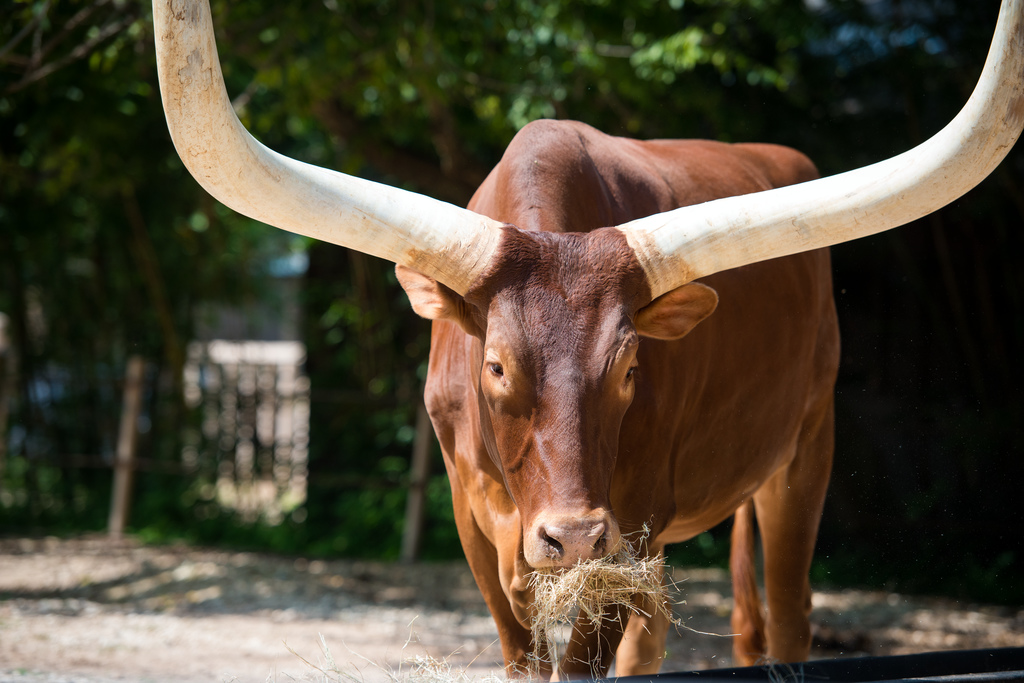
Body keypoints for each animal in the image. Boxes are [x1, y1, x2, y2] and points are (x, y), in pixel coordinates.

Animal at [153, 1, 1024, 679]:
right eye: (495, 364)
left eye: (630, 365)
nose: (570, 533)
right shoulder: (476, 524)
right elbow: (525, 655)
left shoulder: (627, 522)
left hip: (803, 447)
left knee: (787, 618)